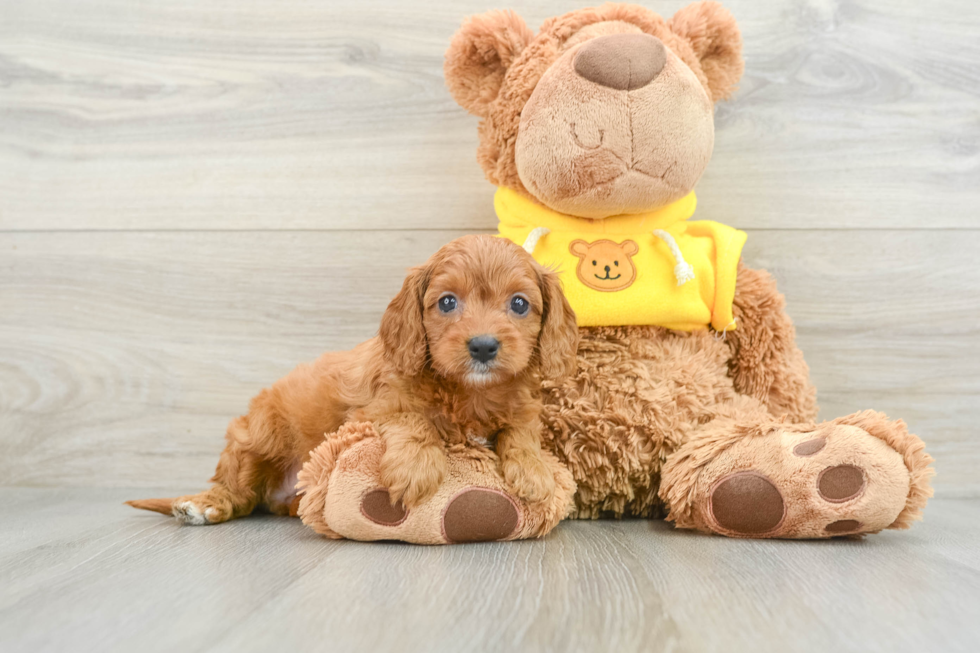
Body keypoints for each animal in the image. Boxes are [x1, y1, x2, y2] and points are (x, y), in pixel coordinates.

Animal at [127, 232, 580, 524]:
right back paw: (202, 505)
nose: (483, 347)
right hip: (256, 438)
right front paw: (416, 466)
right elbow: (412, 419)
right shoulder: (372, 408)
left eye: (519, 304)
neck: (469, 392)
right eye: (448, 302)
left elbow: (521, 430)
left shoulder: (520, 405)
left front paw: (534, 469)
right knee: (235, 491)